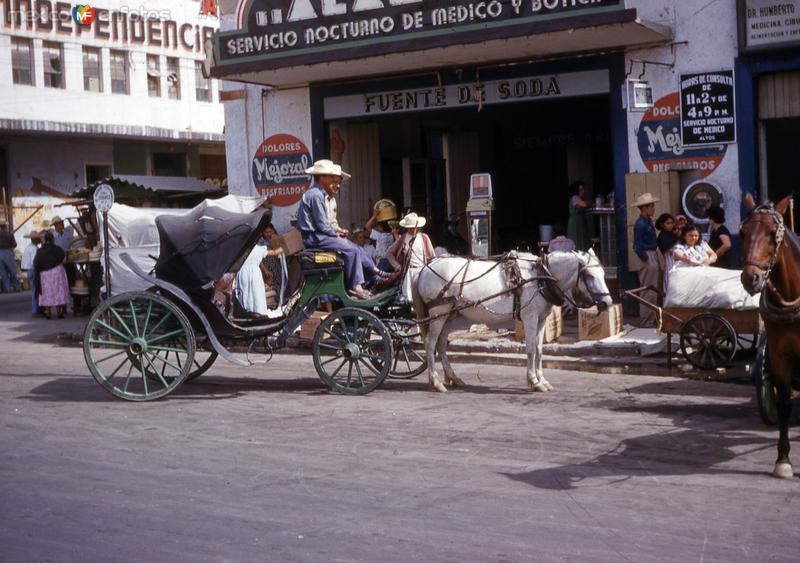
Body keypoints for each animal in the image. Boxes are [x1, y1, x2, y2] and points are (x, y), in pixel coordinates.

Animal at [412, 251, 612, 392]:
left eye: (603, 273)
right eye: (590, 276)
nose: (607, 303)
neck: (541, 277)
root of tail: (425, 267)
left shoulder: (541, 320)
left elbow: (540, 350)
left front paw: (542, 380)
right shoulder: (530, 318)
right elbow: (530, 349)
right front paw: (534, 381)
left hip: (449, 314)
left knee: (441, 345)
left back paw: (453, 378)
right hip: (439, 312)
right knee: (430, 344)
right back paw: (436, 381)